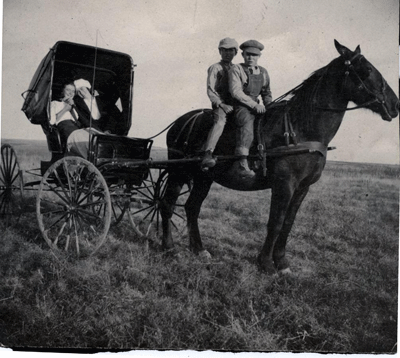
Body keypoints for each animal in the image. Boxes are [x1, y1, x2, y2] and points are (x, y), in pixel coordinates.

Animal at [158, 39, 398, 274]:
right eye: (368, 70)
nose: (395, 105)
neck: (300, 129)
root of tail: (180, 122)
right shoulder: (284, 184)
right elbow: (276, 221)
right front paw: (266, 263)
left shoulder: (302, 187)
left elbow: (288, 223)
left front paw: (282, 262)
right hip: (178, 172)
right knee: (167, 204)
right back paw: (170, 248)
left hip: (203, 177)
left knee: (192, 207)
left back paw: (199, 249)